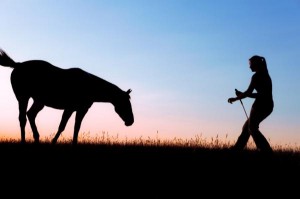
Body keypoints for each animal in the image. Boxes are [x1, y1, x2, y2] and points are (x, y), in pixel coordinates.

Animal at [0, 48, 134, 145]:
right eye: (125, 103)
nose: (131, 121)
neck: (89, 85)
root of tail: (18, 65)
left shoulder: (81, 110)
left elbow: (76, 128)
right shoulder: (70, 108)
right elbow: (62, 126)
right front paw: (53, 142)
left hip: (39, 102)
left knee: (30, 115)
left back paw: (37, 138)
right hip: (23, 98)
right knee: (22, 118)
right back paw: (24, 141)